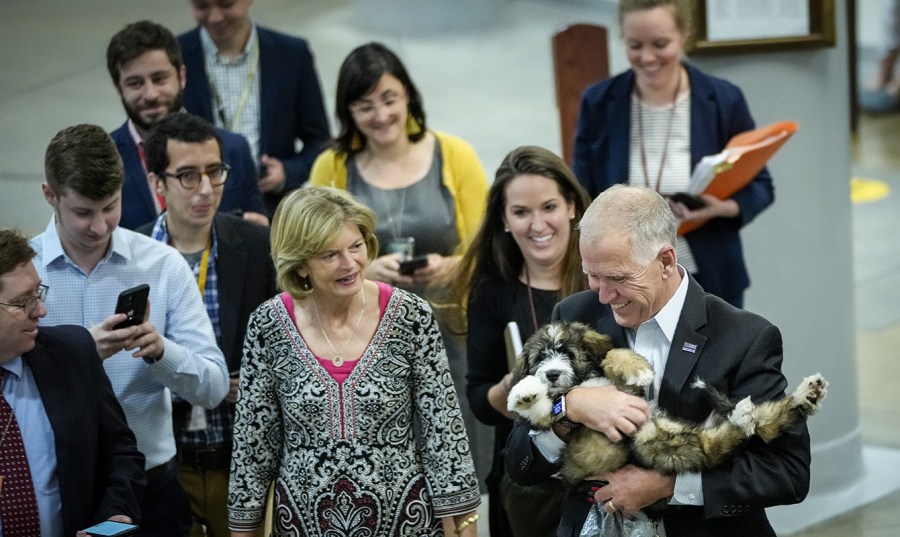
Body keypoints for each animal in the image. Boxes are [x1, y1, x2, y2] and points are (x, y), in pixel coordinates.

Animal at [506, 320, 828, 484]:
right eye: (539, 359)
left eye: (568, 354)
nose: (552, 373)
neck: (578, 383)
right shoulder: (553, 414)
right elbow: (543, 408)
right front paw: (525, 392)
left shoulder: (625, 391)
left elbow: (611, 355)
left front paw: (636, 367)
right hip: (658, 444)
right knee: (731, 439)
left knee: (761, 425)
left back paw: (807, 394)